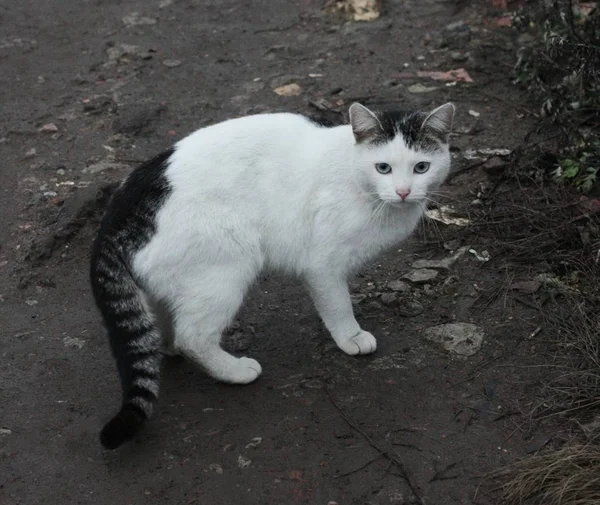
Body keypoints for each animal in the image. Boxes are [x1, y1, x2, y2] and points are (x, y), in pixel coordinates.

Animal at [89, 100, 454, 446]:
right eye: (383, 168)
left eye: (421, 167)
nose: (404, 192)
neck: (358, 178)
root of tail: (120, 210)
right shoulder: (321, 264)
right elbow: (337, 304)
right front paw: (350, 337)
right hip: (227, 268)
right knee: (192, 337)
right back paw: (234, 370)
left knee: (166, 325)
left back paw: (167, 346)